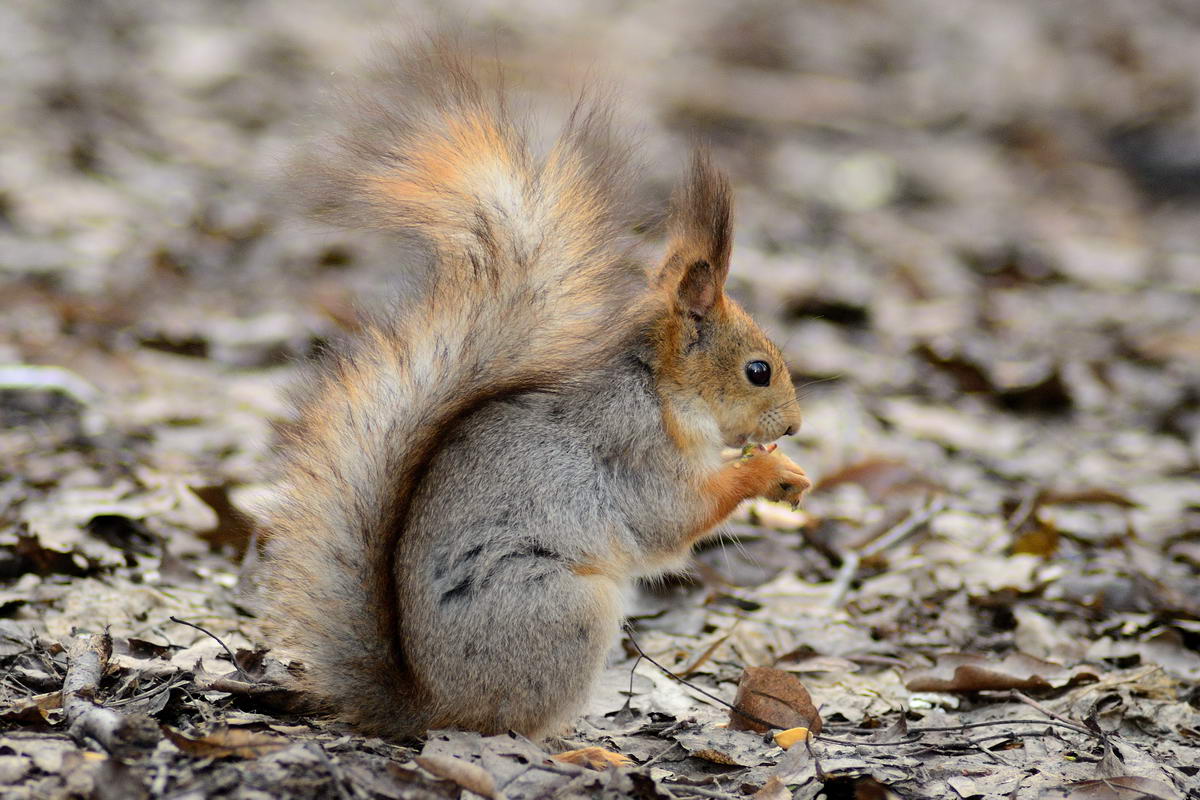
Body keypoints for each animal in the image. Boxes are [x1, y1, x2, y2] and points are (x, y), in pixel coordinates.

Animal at [258, 38, 811, 743]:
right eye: (757, 371)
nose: (793, 426)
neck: (658, 389)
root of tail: (426, 706)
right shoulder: (634, 449)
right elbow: (670, 517)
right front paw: (766, 473)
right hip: (564, 610)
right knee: (514, 723)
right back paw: (583, 749)